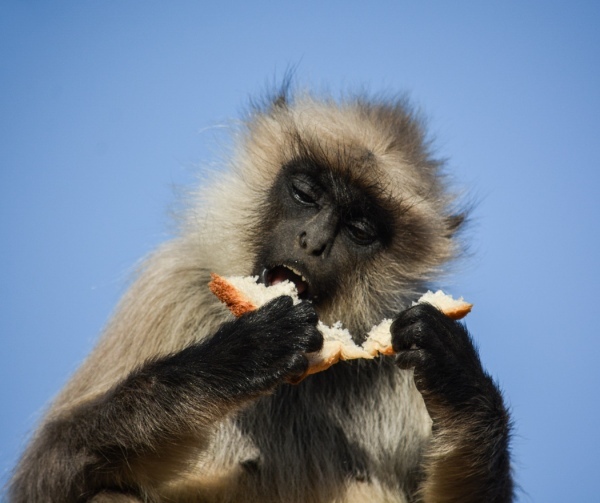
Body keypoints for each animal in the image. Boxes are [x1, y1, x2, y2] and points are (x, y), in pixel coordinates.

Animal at [9, 87, 513, 502]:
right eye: (306, 193)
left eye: (359, 229)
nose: (313, 242)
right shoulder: (171, 285)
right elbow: (42, 476)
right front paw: (239, 357)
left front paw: (457, 380)